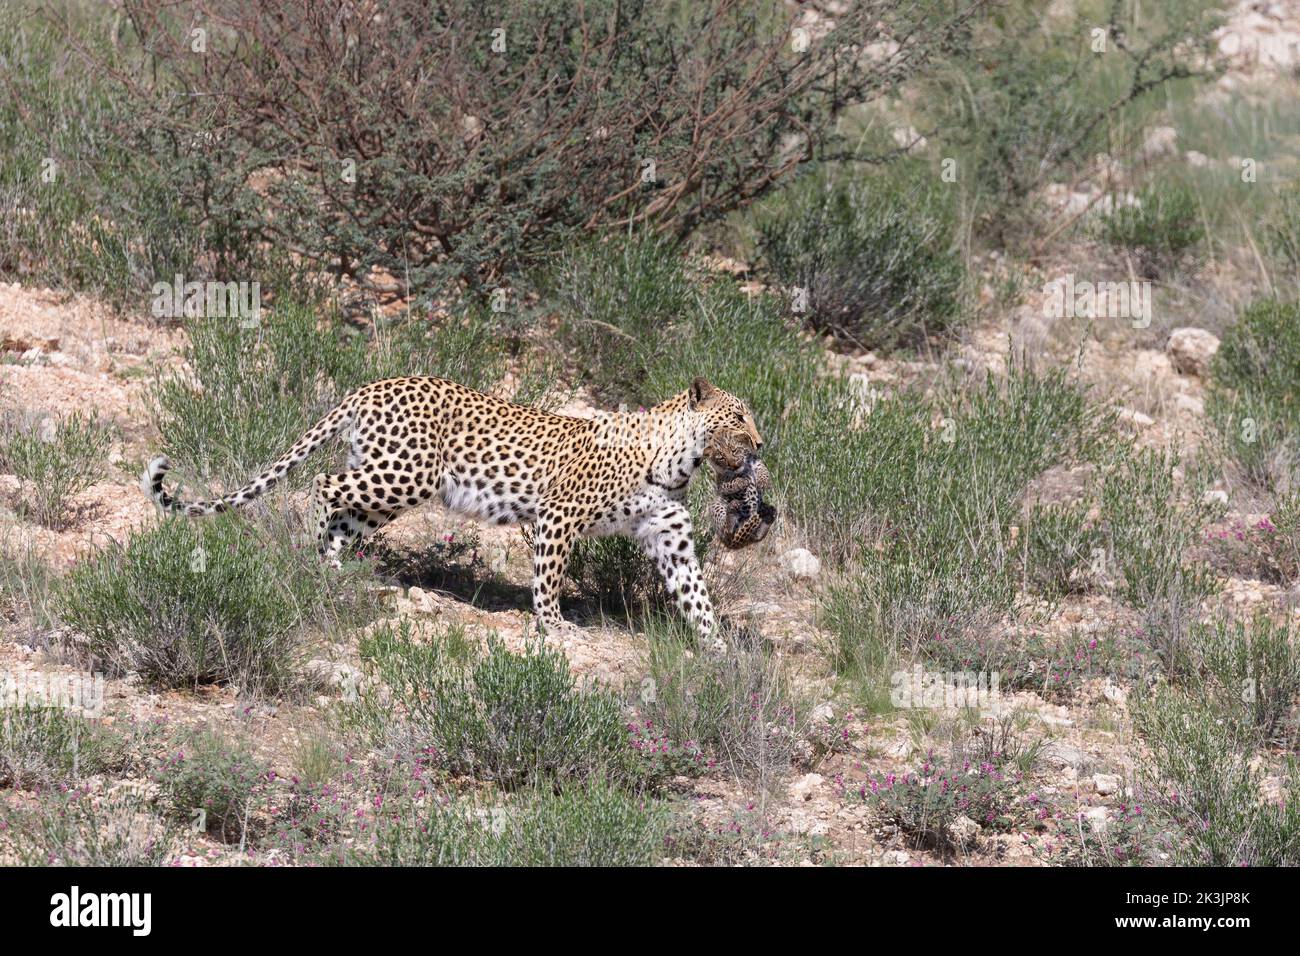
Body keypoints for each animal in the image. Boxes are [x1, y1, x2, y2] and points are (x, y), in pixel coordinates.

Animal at [144, 374, 759, 650]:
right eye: (738, 418)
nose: (760, 446)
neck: (677, 458)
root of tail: (369, 386)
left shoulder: (669, 536)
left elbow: (696, 595)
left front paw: (719, 653)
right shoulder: (557, 516)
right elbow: (549, 578)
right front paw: (553, 625)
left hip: (388, 489)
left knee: (344, 514)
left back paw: (334, 572)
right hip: (403, 475)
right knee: (322, 485)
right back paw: (313, 557)